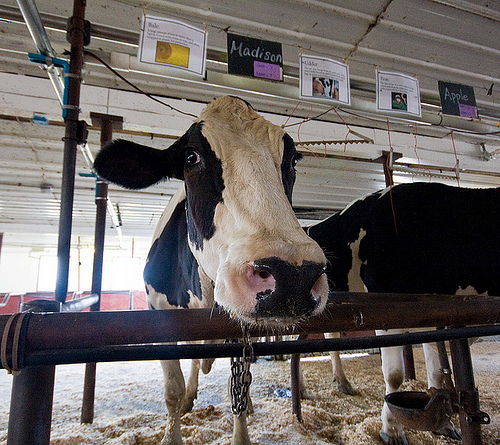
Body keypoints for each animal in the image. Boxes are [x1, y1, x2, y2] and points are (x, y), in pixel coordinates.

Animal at [94, 96, 330, 444]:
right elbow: (173, 391)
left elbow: (238, 389)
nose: (293, 276)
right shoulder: (157, 311)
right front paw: (173, 432)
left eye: (292, 160)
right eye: (191, 157)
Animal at [306, 181, 500, 444]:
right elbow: (395, 375)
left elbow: (438, 373)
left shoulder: (436, 316)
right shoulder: (385, 308)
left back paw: (342, 382)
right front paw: (391, 430)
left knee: (330, 336)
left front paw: (444, 425)